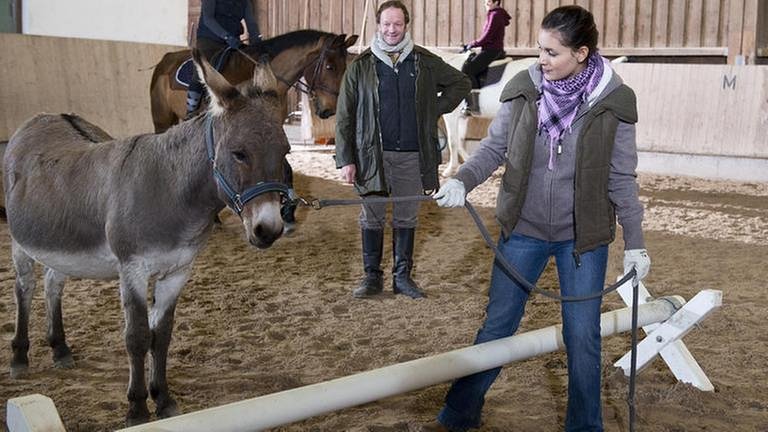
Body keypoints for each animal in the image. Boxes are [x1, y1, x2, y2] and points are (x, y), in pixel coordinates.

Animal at [4, 50, 292, 426]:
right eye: (239, 153)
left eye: (286, 152)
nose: (269, 229)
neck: (170, 189)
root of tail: (41, 117)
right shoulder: (133, 270)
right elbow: (138, 337)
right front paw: (138, 408)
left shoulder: (177, 272)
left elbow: (162, 336)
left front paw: (164, 399)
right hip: (20, 242)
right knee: (25, 288)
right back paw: (19, 357)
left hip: (60, 242)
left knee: (53, 283)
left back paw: (60, 348)